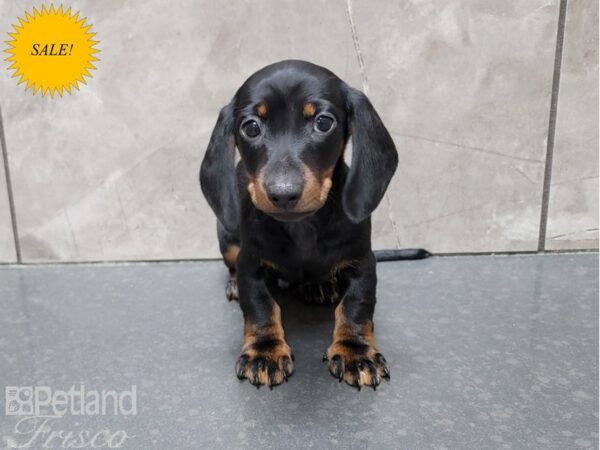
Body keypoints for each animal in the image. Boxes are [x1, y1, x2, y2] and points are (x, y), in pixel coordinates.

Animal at [199, 59, 424, 390]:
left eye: (323, 122)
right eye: (251, 127)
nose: (283, 193)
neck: (302, 228)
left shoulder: (362, 261)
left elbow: (356, 305)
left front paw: (355, 352)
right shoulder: (251, 262)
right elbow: (260, 306)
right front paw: (264, 352)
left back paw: (321, 285)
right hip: (226, 239)